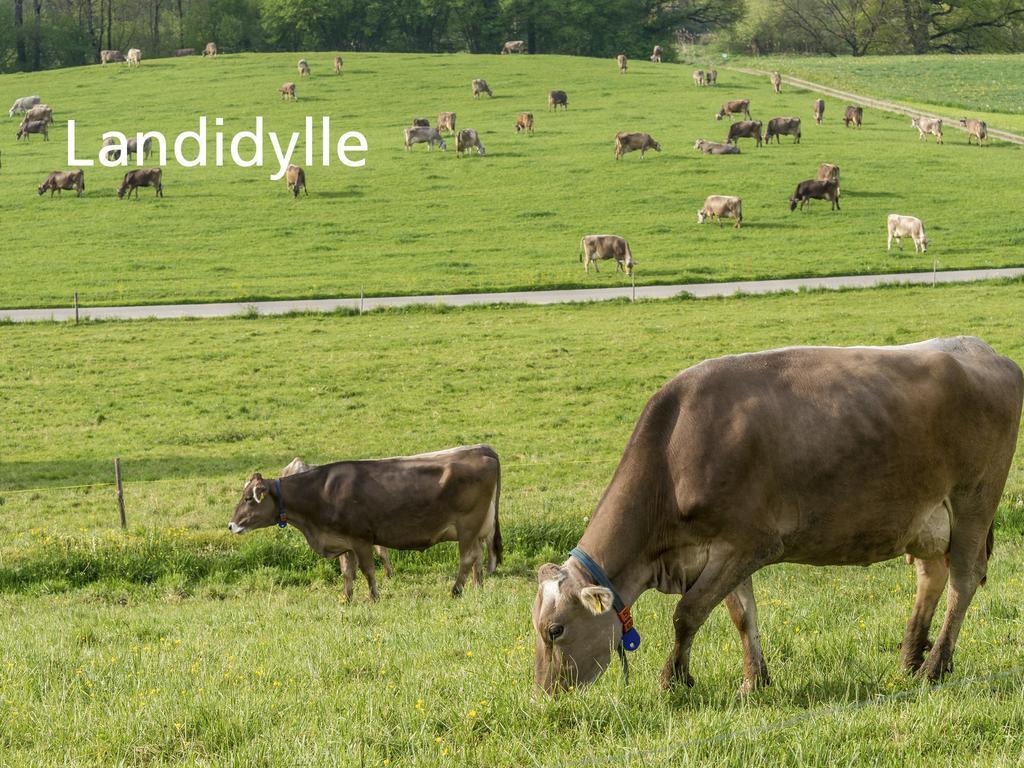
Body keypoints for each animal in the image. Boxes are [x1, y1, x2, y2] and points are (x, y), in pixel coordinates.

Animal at [532, 335, 1024, 696]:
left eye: (555, 630)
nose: (542, 696)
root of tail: (983, 350)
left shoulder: (747, 543)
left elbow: (687, 614)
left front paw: (674, 680)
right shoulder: (723, 550)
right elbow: (740, 615)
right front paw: (755, 681)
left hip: (973, 503)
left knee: (962, 582)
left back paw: (933, 666)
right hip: (925, 517)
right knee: (931, 577)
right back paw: (909, 658)